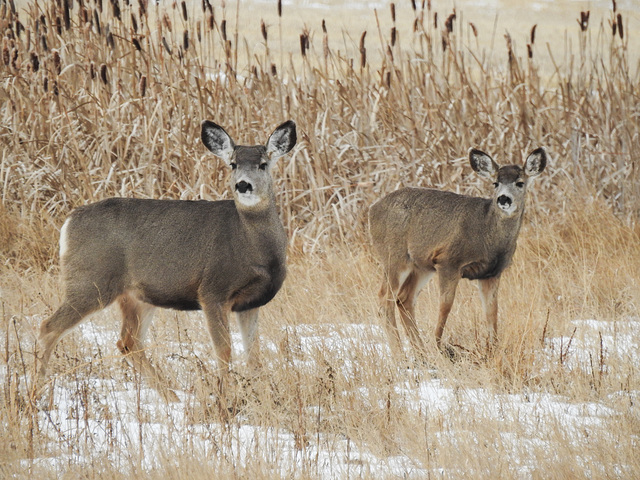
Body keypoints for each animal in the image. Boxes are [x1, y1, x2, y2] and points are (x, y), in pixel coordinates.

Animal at [37, 119, 300, 402]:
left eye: (263, 164)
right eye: (232, 164)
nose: (243, 185)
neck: (252, 247)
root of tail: (68, 222)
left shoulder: (250, 303)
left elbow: (254, 357)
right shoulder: (212, 291)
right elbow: (224, 350)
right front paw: (224, 399)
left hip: (137, 296)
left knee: (128, 342)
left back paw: (173, 398)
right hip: (90, 281)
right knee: (48, 327)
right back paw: (34, 392)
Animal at [368, 148, 548, 358]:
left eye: (520, 182)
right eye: (495, 183)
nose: (503, 199)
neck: (487, 234)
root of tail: (372, 210)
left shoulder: (491, 273)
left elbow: (492, 312)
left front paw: (492, 349)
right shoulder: (448, 261)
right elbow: (446, 306)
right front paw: (441, 347)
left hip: (420, 266)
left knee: (404, 299)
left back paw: (421, 355)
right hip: (394, 257)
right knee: (384, 300)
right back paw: (401, 356)